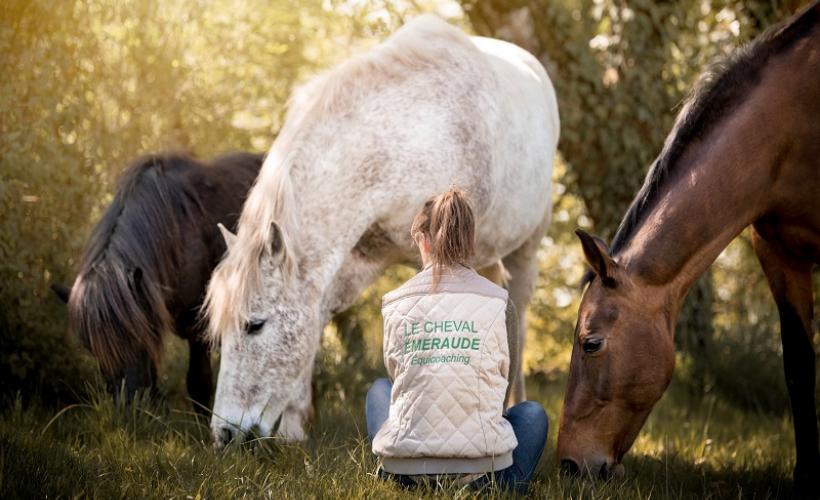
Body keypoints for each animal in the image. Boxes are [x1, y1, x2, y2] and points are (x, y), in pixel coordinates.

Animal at [51, 150, 262, 412]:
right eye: (92, 348)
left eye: (135, 337)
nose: (126, 407)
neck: (178, 231)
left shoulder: (198, 328)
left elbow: (199, 384)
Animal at [208, 14, 560, 446]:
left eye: (255, 325)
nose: (224, 434)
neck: (409, 136)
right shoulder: (350, 259)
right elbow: (316, 318)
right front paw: (294, 424)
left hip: (527, 247)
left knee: (521, 317)